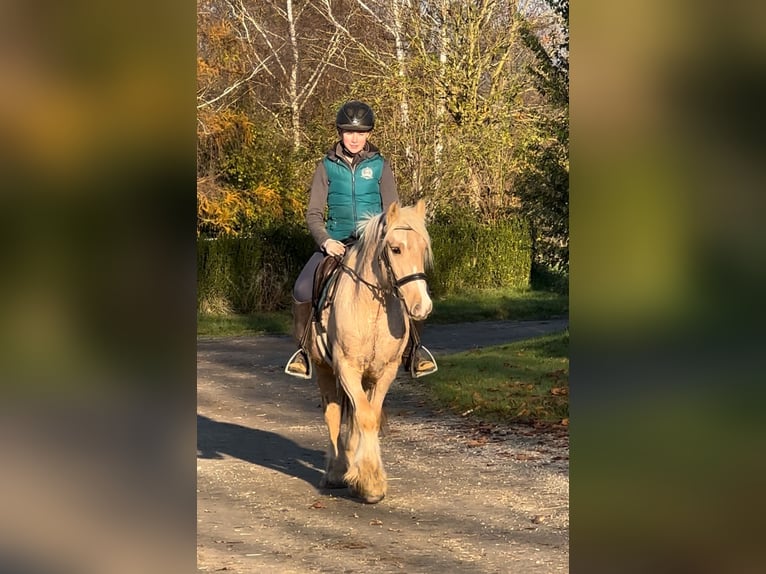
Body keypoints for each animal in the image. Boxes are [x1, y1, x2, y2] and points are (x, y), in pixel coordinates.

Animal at [308, 200, 438, 506]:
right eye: (396, 249)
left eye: (423, 248)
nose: (422, 306)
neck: (373, 310)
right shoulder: (346, 368)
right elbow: (363, 416)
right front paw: (370, 482)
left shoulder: (385, 371)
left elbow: (370, 416)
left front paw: (365, 477)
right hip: (323, 368)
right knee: (333, 413)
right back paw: (336, 472)